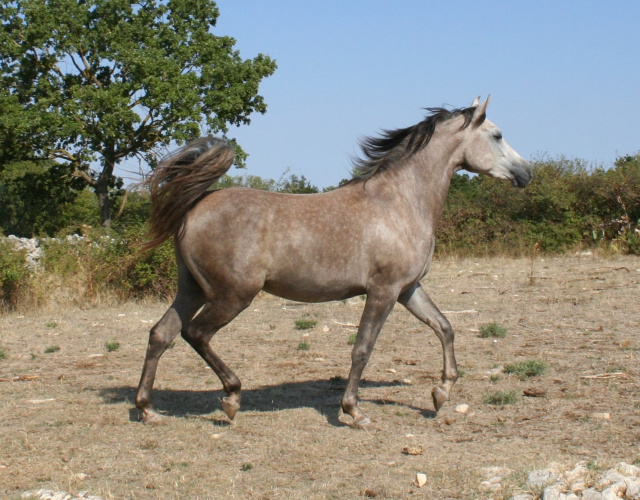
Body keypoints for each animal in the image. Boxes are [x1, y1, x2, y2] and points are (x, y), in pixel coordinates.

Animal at [138, 97, 532, 430]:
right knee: (195, 334)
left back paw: (149, 409)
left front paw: (440, 394)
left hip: (192, 289)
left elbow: (445, 327)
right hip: (231, 295)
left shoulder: (408, 289)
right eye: (497, 135)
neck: (399, 202)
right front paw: (354, 411)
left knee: (161, 333)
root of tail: (195, 206)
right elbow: (362, 348)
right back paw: (232, 398)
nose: (526, 173)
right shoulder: (383, 291)